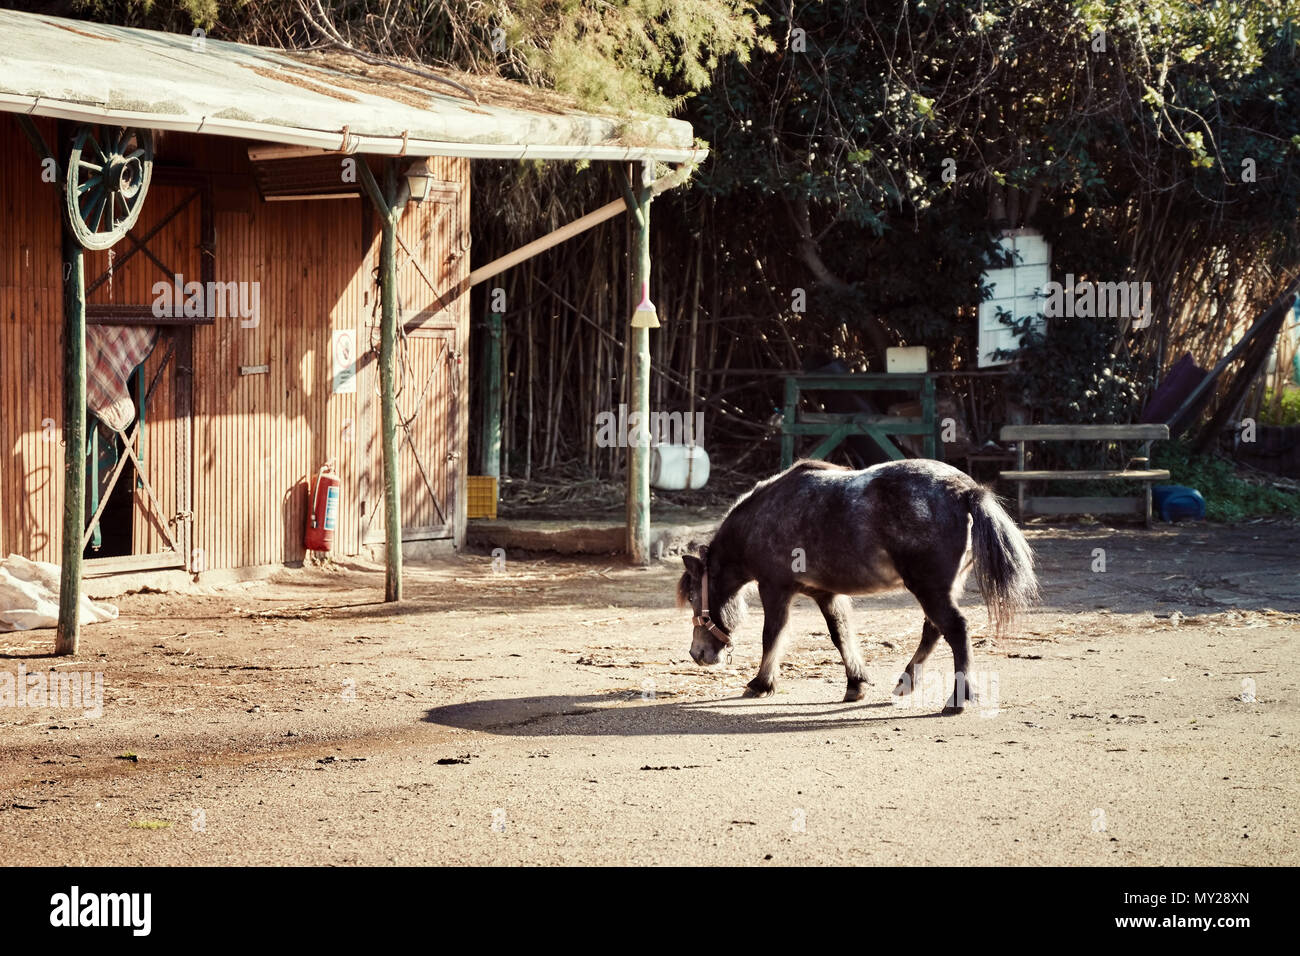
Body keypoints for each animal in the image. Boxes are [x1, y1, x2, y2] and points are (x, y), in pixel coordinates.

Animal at [676, 458, 1038, 710]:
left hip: (929, 589)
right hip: (939, 589)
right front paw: (856, 683)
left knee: (956, 630)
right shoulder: (825, 594)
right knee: (933, 631)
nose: (697, 653)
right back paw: (906, 682)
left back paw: (958, 700)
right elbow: (840, 634)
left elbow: (772, 636)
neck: (766, 516)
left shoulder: (775, 588)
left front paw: (761, 683)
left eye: (694, 595)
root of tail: (964, 491)